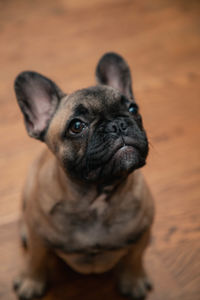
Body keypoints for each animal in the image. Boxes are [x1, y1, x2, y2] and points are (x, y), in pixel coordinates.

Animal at [13, 52, 154, 298]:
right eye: (77, 126)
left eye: (133, 109)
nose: (118, 124)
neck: (97, 196)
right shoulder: (39, 241)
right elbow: (35, 260)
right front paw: (32, 282)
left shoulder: (141, 234)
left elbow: (135, 258)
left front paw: (133, 280)